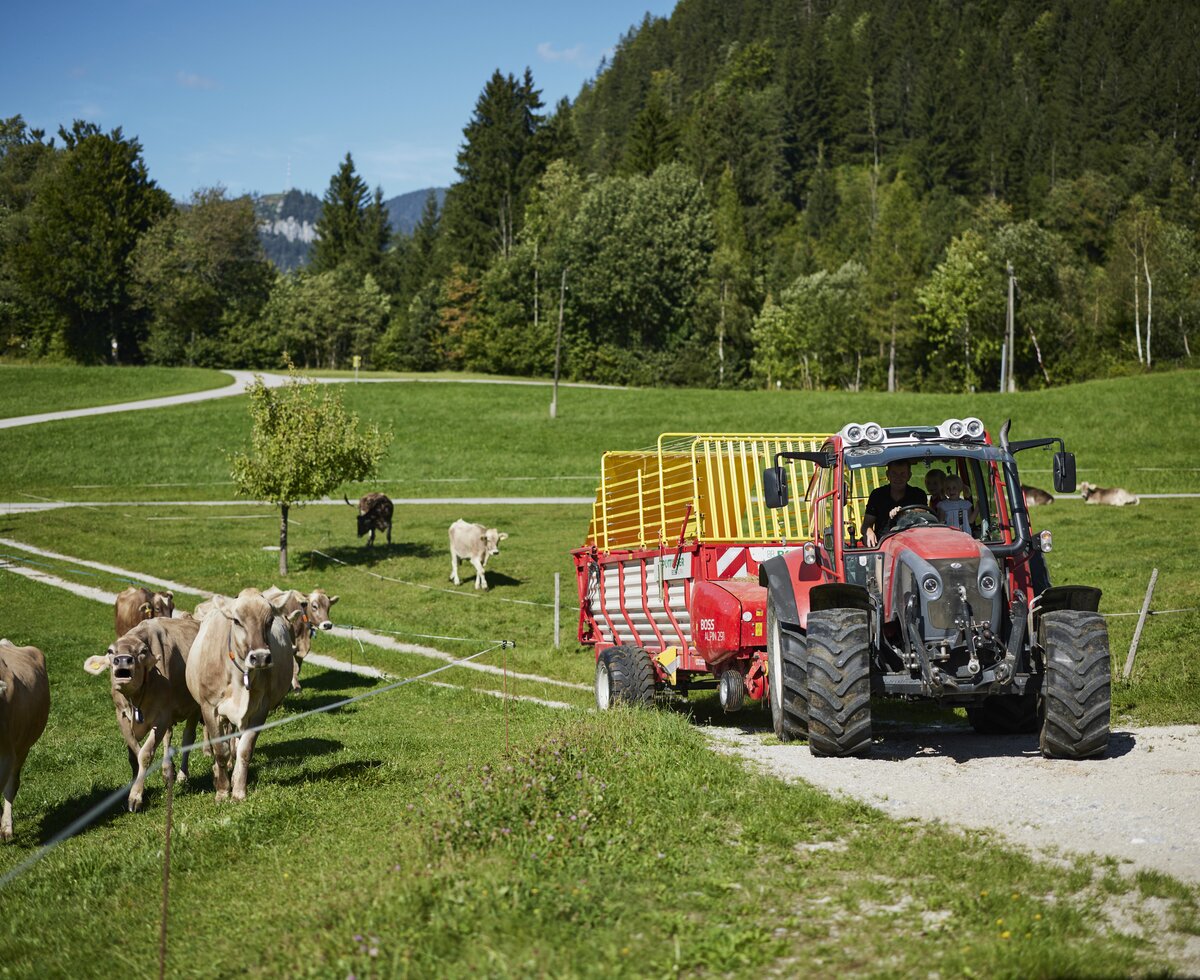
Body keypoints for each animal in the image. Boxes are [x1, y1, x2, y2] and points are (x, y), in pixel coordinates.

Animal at [83, 618, 199, 810]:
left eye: (143, 651)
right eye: (110, 651)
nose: (123, 659)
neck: (135, 700)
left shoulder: (161, 717)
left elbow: (144, 754)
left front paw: (135, 796)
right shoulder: (121, 715)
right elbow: (134, 754)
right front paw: (135, 785)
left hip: (196, 707)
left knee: (188, 737)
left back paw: (182, 775)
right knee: (168, 737)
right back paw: (168, 770)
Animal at [186, 585, 304, 801]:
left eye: (269, 620)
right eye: (237, 620)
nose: (260, 657)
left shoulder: (260, 709)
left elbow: (245, 750)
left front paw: (239, 791)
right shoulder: (209, 707)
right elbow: (220, 750)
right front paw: (222, 791)